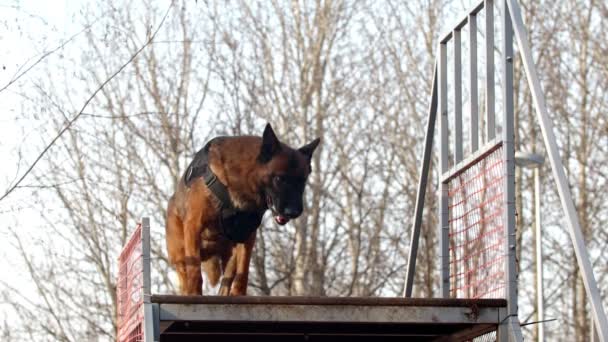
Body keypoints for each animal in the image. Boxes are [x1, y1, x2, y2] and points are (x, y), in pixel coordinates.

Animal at [164, 124, 320, 296]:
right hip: (179, 252)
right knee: (185, 272)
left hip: (230, 252)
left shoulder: (247, 235)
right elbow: (195, 272)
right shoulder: (194, 226)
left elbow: (243, 270)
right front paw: (194, 293)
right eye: (279, 179)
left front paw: (239, 293)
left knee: (227, 278)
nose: (293, 212)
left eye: (302, 181)